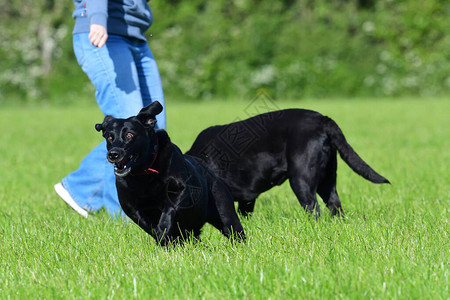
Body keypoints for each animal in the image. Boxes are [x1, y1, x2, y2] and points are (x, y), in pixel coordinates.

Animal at [92, 102, 244, 245]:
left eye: (129, 135)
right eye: (109, 137)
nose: (113, 154)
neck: (144, 175)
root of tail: (213, 174)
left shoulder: (182, 190)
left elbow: (168, 209)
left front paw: (164, 231)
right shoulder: (131, 208)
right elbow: (148, 225)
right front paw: (164, 239)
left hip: (224, 212)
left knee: (234, 230)